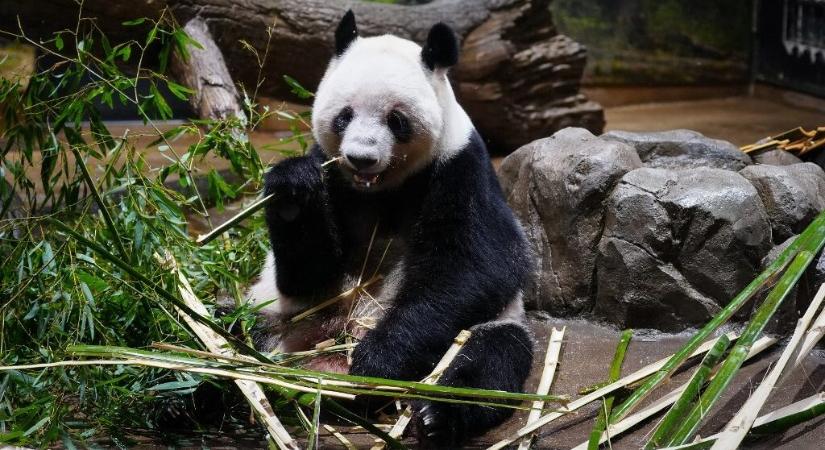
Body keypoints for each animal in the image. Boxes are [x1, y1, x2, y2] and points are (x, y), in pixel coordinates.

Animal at [246, 10, 534, 446]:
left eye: (396, 120)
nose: (360, 158)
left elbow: (474, 266)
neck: (379, 190)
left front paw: (377, 360)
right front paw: (293, 188)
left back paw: (435, 416)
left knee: (490, 359)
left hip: (490, 327)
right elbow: (309, 276)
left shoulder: (460, 168)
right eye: (344, 115)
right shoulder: (334, 180)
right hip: (273, 318)